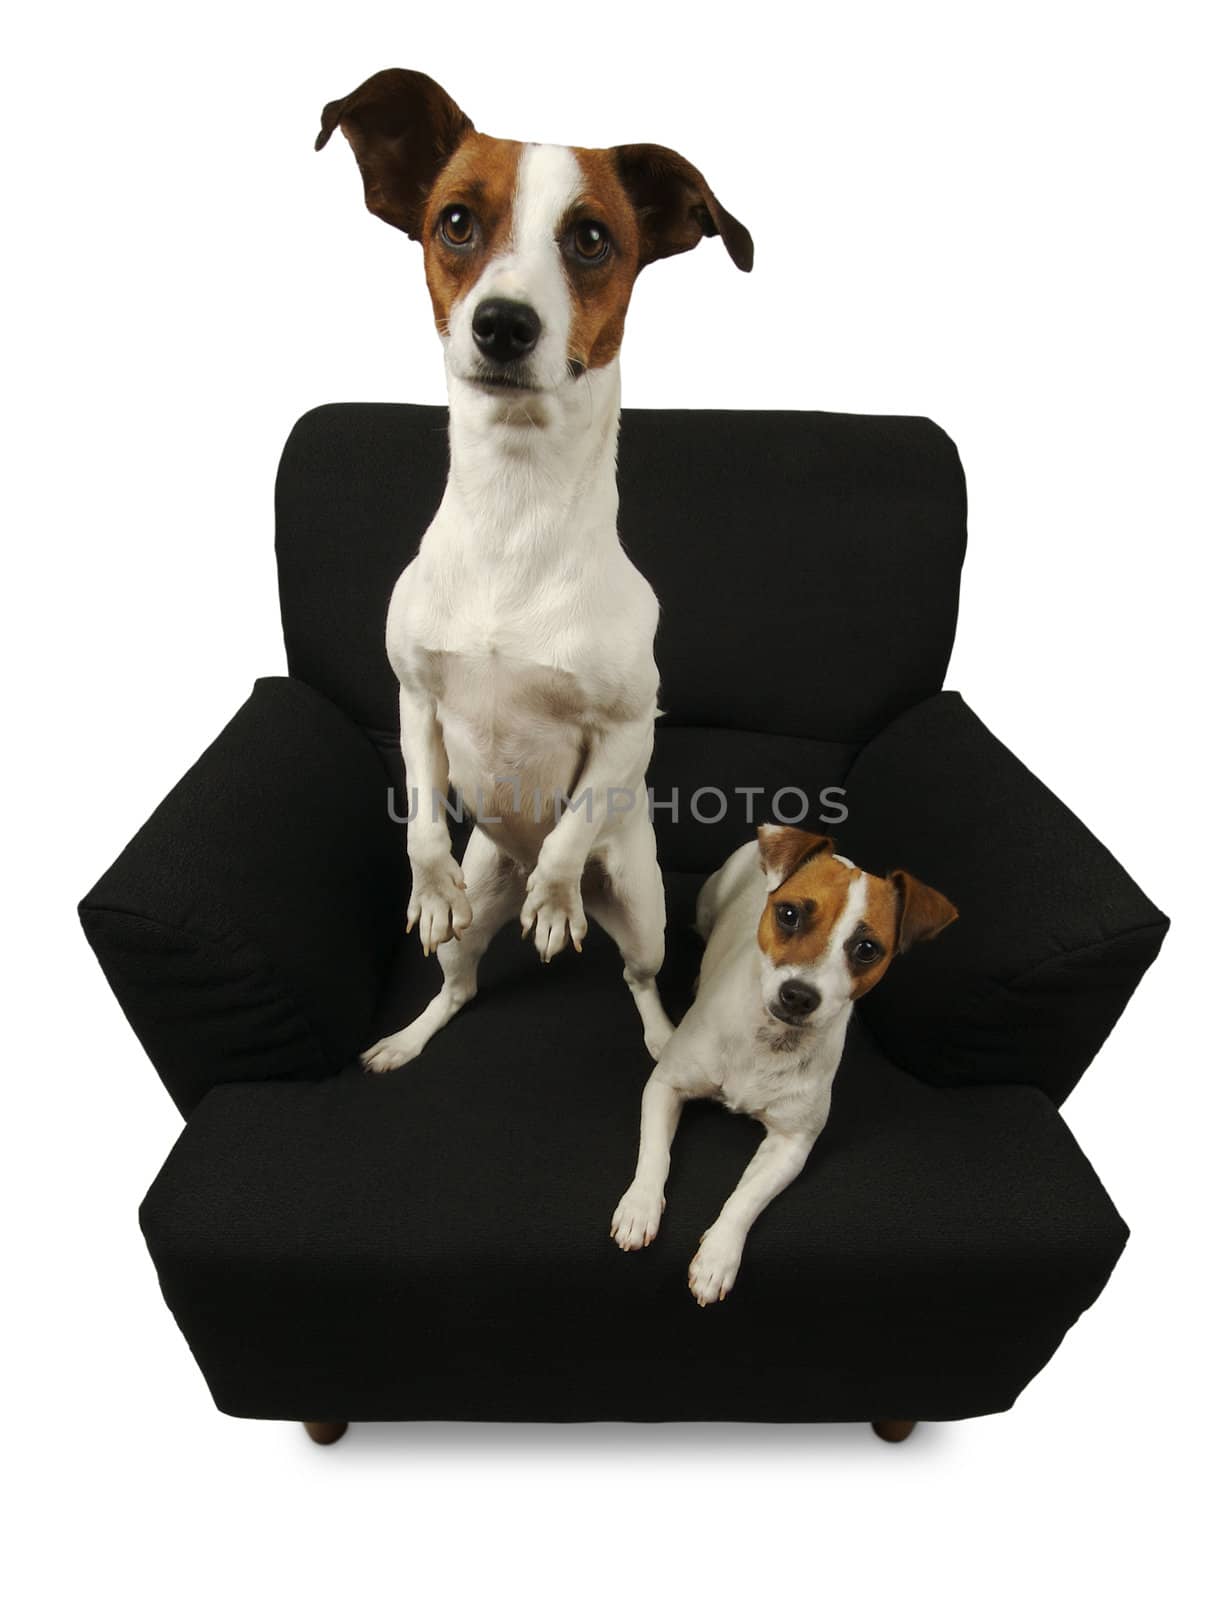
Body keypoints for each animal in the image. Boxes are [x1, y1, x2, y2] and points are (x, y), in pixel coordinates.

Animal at [311, 68, 754, 1068]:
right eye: (455, 223)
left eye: (591, 239)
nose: (504, 324)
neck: (515, 518)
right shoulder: (415, 699)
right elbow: (423, 814)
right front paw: (429, 884)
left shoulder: (627, 729)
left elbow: (571, 827)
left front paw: (553, 902)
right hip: (484, 901)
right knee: (462, 980)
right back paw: (411, 1033)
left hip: (641, 909)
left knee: (634, 972)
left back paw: (645, 1013)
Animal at [614, 832, 959, 1305]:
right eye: (789, 914)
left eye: (867, 949)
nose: (799, 994)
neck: (769, 1039)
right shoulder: (666, 1085)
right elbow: (654, 1152)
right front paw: (640, 1206)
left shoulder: (792, 1145)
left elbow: (746, 1197)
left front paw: (719, 1255)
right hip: (708, 905)